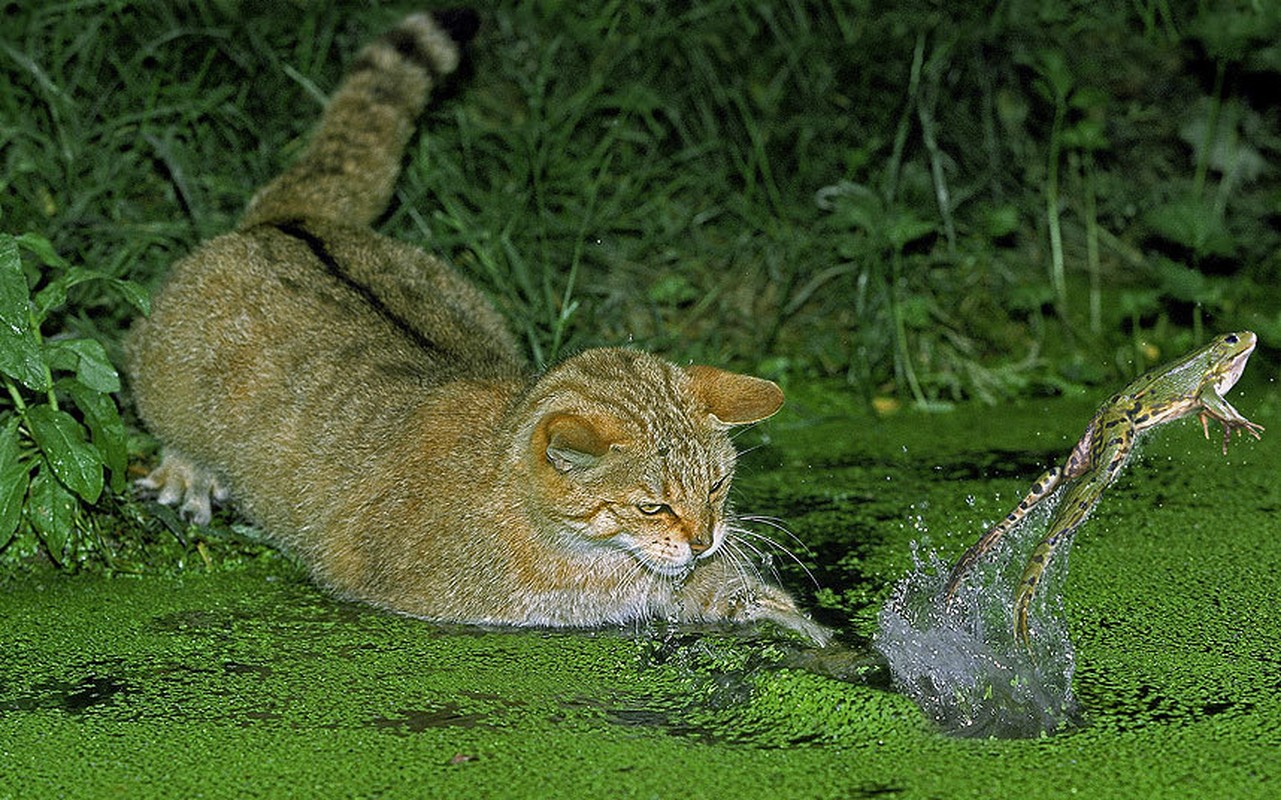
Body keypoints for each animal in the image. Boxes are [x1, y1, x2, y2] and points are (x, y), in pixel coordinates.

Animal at [127, 7, 830, 642]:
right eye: (651, 505)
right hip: (160, 372)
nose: (706, 539)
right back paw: (188, 468)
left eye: (719, 486)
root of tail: (292, 222)